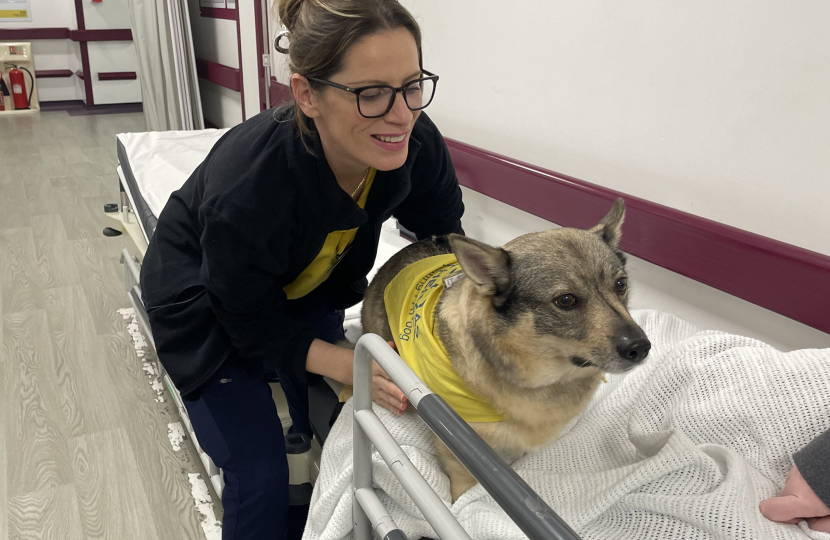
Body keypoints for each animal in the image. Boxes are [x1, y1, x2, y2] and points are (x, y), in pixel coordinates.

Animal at [362, 199, 648, 502]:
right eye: (566, 300)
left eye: (621, 284)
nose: (641, 348)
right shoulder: (456, 449)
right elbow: (462, 487)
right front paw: (458, 505)